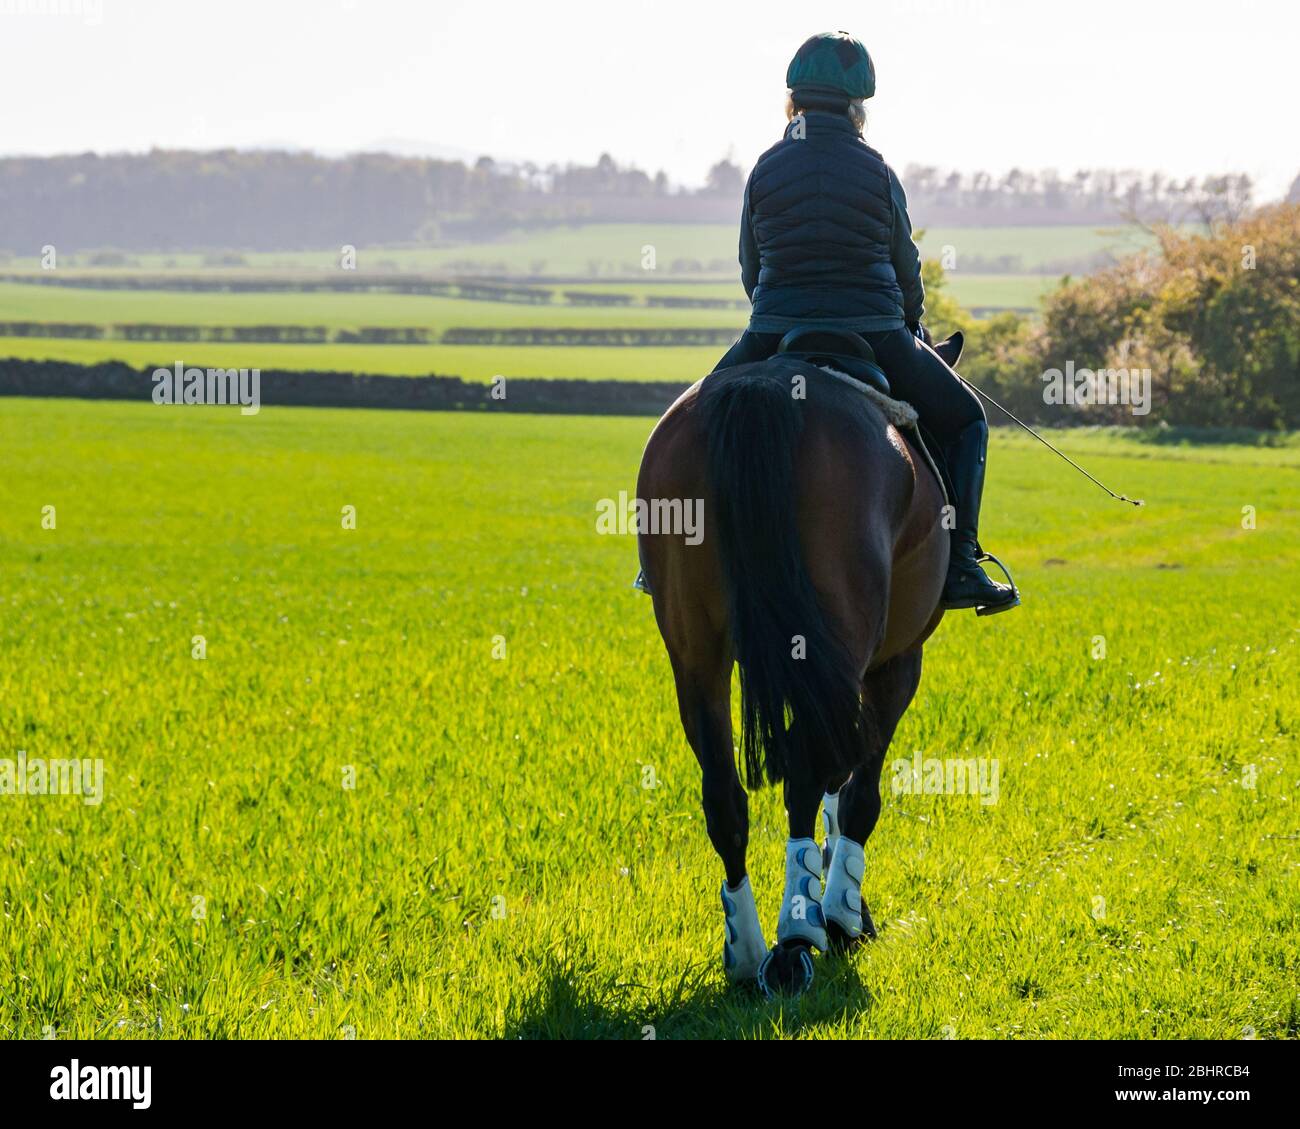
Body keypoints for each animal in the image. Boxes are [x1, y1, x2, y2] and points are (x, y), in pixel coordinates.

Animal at [636, 333, 962, 996]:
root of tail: (764, 390)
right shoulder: (896, 662)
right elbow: (857, 792)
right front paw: (843, 913)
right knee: (807, 776)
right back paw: (795, 938)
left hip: (696, 657)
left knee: (724, 795)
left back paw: (744, 950)